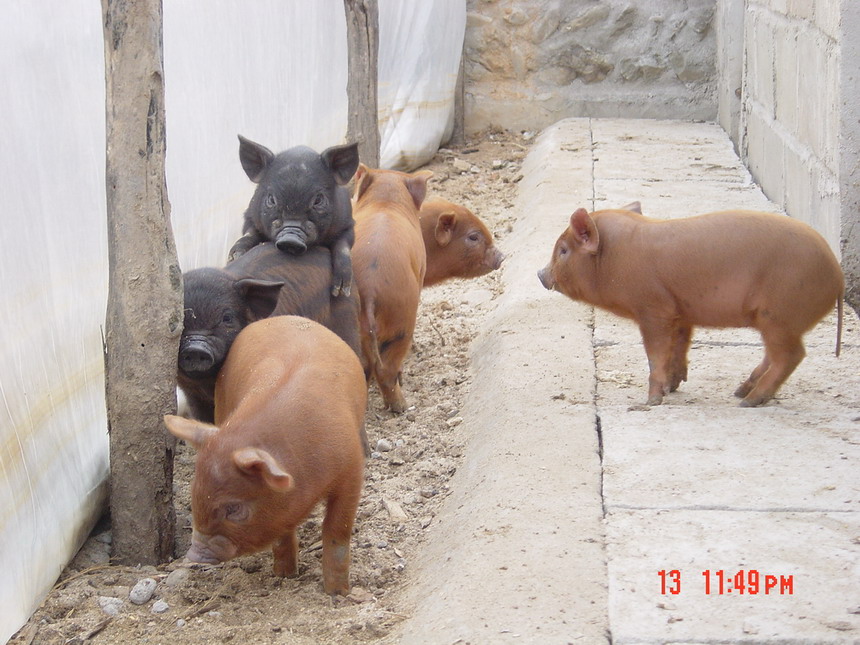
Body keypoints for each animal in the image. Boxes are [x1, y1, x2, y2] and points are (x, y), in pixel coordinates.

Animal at [165, 316, 366, 595]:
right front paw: (284, 576)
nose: (195, 555)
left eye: (234, 508)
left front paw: (337, 593)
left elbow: (337, 531)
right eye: (194, 494)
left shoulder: (351, 470)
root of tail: (280, 318)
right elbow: (281, 532)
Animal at [177, 243, 362, 425]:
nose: (195, 347)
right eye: (180, 320)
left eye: (226, 318)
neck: (208, 384)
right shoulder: (193, 395)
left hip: (348, 321)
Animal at [227, 135, 360, 297]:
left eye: (318, 200)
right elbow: (248, 233)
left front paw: (340, 291)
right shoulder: (251, 216)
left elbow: (343, 246)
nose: (290, 239)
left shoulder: (347, 224)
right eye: (271, 199)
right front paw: (235, 257)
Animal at [538, 206, 844, 407]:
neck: (616, 258)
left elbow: (655, 354)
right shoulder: (680, 312)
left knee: (791, 355)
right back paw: (740, 392)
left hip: (779, 316)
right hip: (774, 321)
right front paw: (672, 388)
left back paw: (748, 402)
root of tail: (838, 277)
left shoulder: (653, 309)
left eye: (563, 250)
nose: (540, 274)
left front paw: (651, 401)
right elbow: (679, 347)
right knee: (774, 354)